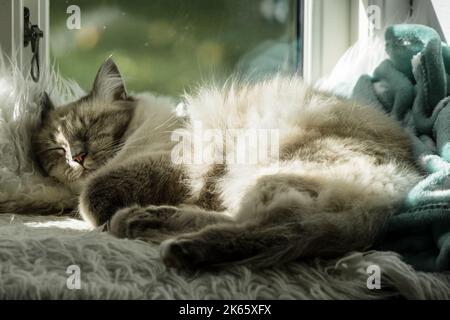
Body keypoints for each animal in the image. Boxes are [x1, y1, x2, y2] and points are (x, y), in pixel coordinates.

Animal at [31, 58, 422, 268]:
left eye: (89, 127)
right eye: (57, 150)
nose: (77, 156)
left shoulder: (170, 162)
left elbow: (93, 196)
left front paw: (98, 215)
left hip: (262, 172)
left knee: (270, 227)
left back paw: (165, 241)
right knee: (249, 222)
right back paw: (145, 224)